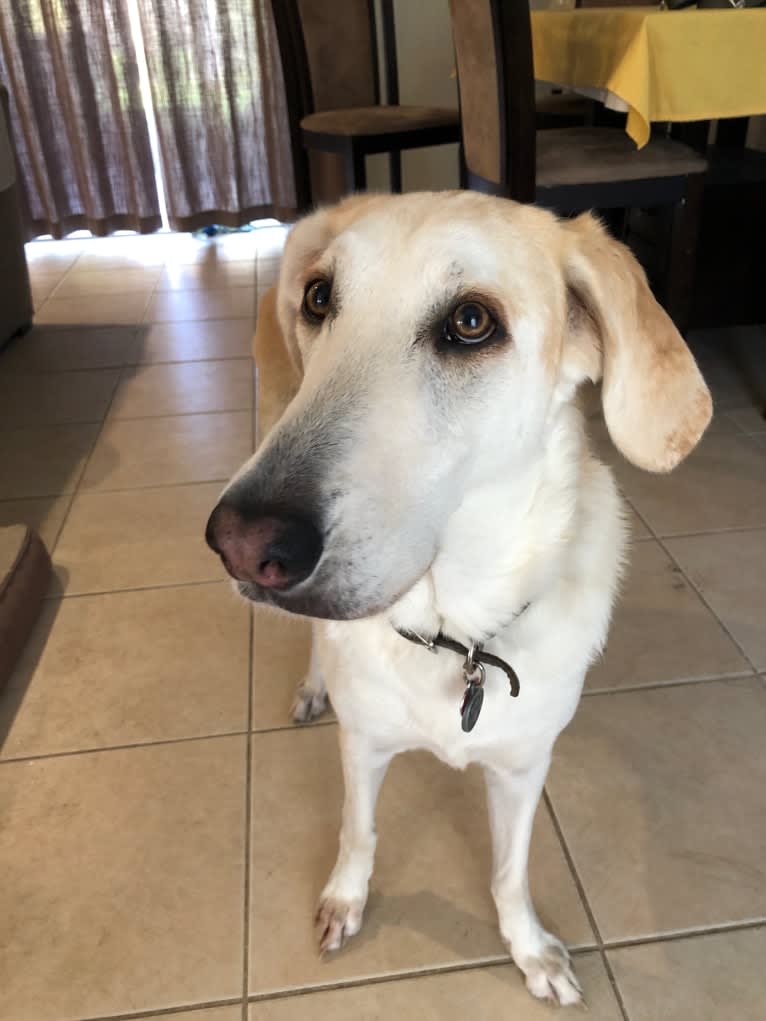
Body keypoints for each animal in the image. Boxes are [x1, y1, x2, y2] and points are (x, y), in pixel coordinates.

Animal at [205, 191, 714, 1004]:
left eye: (471, 321)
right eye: (318, 297)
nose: (244, 542)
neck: (454, 635)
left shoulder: (523, 767)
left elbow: (510, 872)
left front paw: (531, 950)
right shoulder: (364, 743)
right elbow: (358, 830)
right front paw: (346, 899)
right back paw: (314, 686)